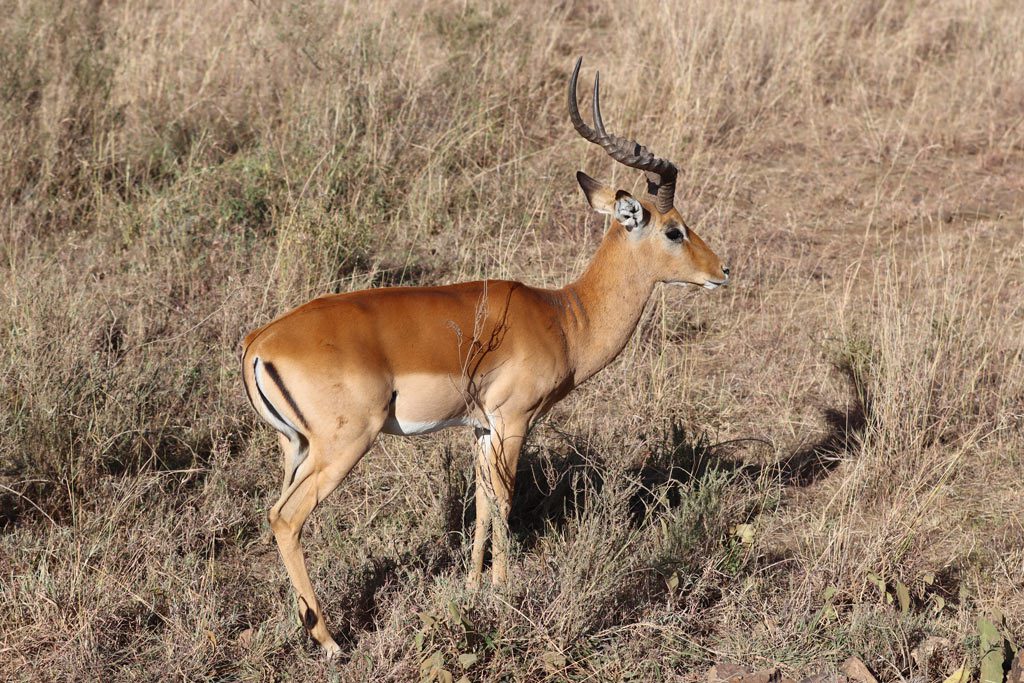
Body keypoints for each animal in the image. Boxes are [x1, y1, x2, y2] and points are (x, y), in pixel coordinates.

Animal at [239, 58, 729, 655]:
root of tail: (260, 341)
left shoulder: (480, 429)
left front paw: (472, 588)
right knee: (286, 518)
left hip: (295, 447)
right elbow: (504, 502)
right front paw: (503, 590)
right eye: (675, 229)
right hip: (343, 444)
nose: (722, 271)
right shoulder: (514, 421)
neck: (563, 316)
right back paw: (330, 642)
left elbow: (478, 508)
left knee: (274, 513)